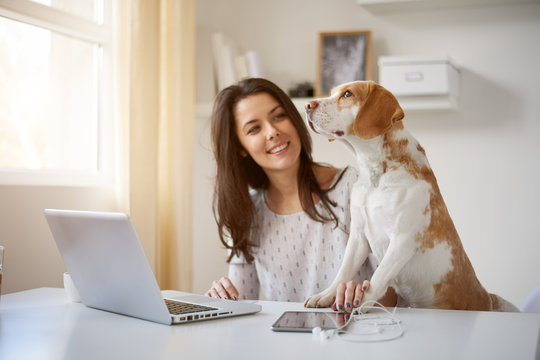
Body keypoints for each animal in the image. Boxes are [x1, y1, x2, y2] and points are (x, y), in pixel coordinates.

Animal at [306, 80, 516, 310]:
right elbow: (343, 272)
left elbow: (377, 278)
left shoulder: (402, 239)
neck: (376, 174)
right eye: (332, 92)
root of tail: (487, 298)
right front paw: (325, 295)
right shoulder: (358, 235)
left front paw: (362, 303)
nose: (307, 105)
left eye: (347, 94)